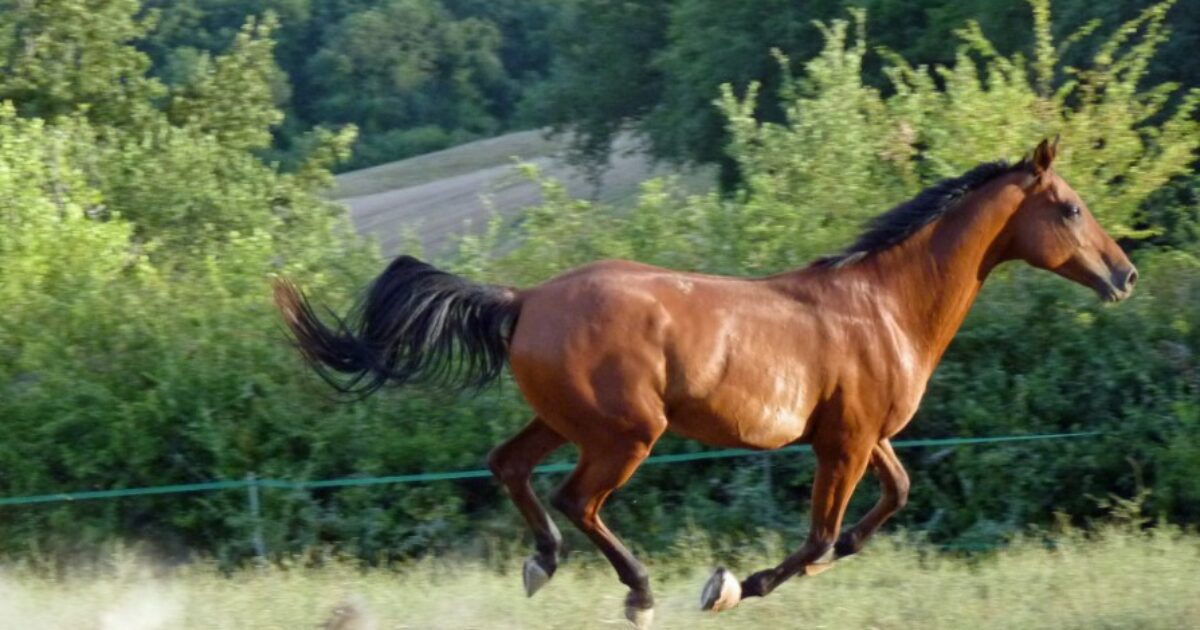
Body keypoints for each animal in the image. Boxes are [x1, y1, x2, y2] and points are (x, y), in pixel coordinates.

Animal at [274, 138, 1132, 628]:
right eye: (1070, 207)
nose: (1122, 275)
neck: (884, 306)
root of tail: (524, 299)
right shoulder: (845, 443)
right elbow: (820, 538)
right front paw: (728, 585)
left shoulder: (863, 437)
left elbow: (889, 503)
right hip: (627, 434)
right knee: (576, 500)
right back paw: (640, 594)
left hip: (564, 421)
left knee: (510, 467)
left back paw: (542, 565)